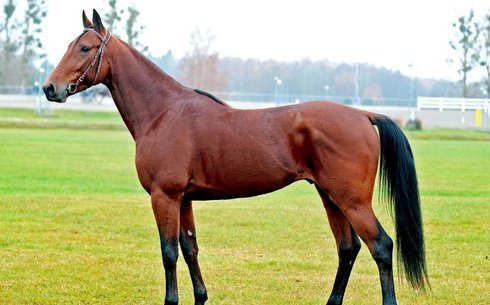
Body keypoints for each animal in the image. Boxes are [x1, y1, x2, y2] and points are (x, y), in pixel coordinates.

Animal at [44, 9, 426, 304]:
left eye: (85, 47)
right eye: (70, 46)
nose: (50, 88)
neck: (164, 113)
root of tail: (363, 115)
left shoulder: (164, 196)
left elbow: (169, 253)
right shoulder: (184, 199)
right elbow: (189, 248)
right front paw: (201, 297)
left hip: (352, 201)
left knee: (381, 246)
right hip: (330, 197)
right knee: (347, 249)